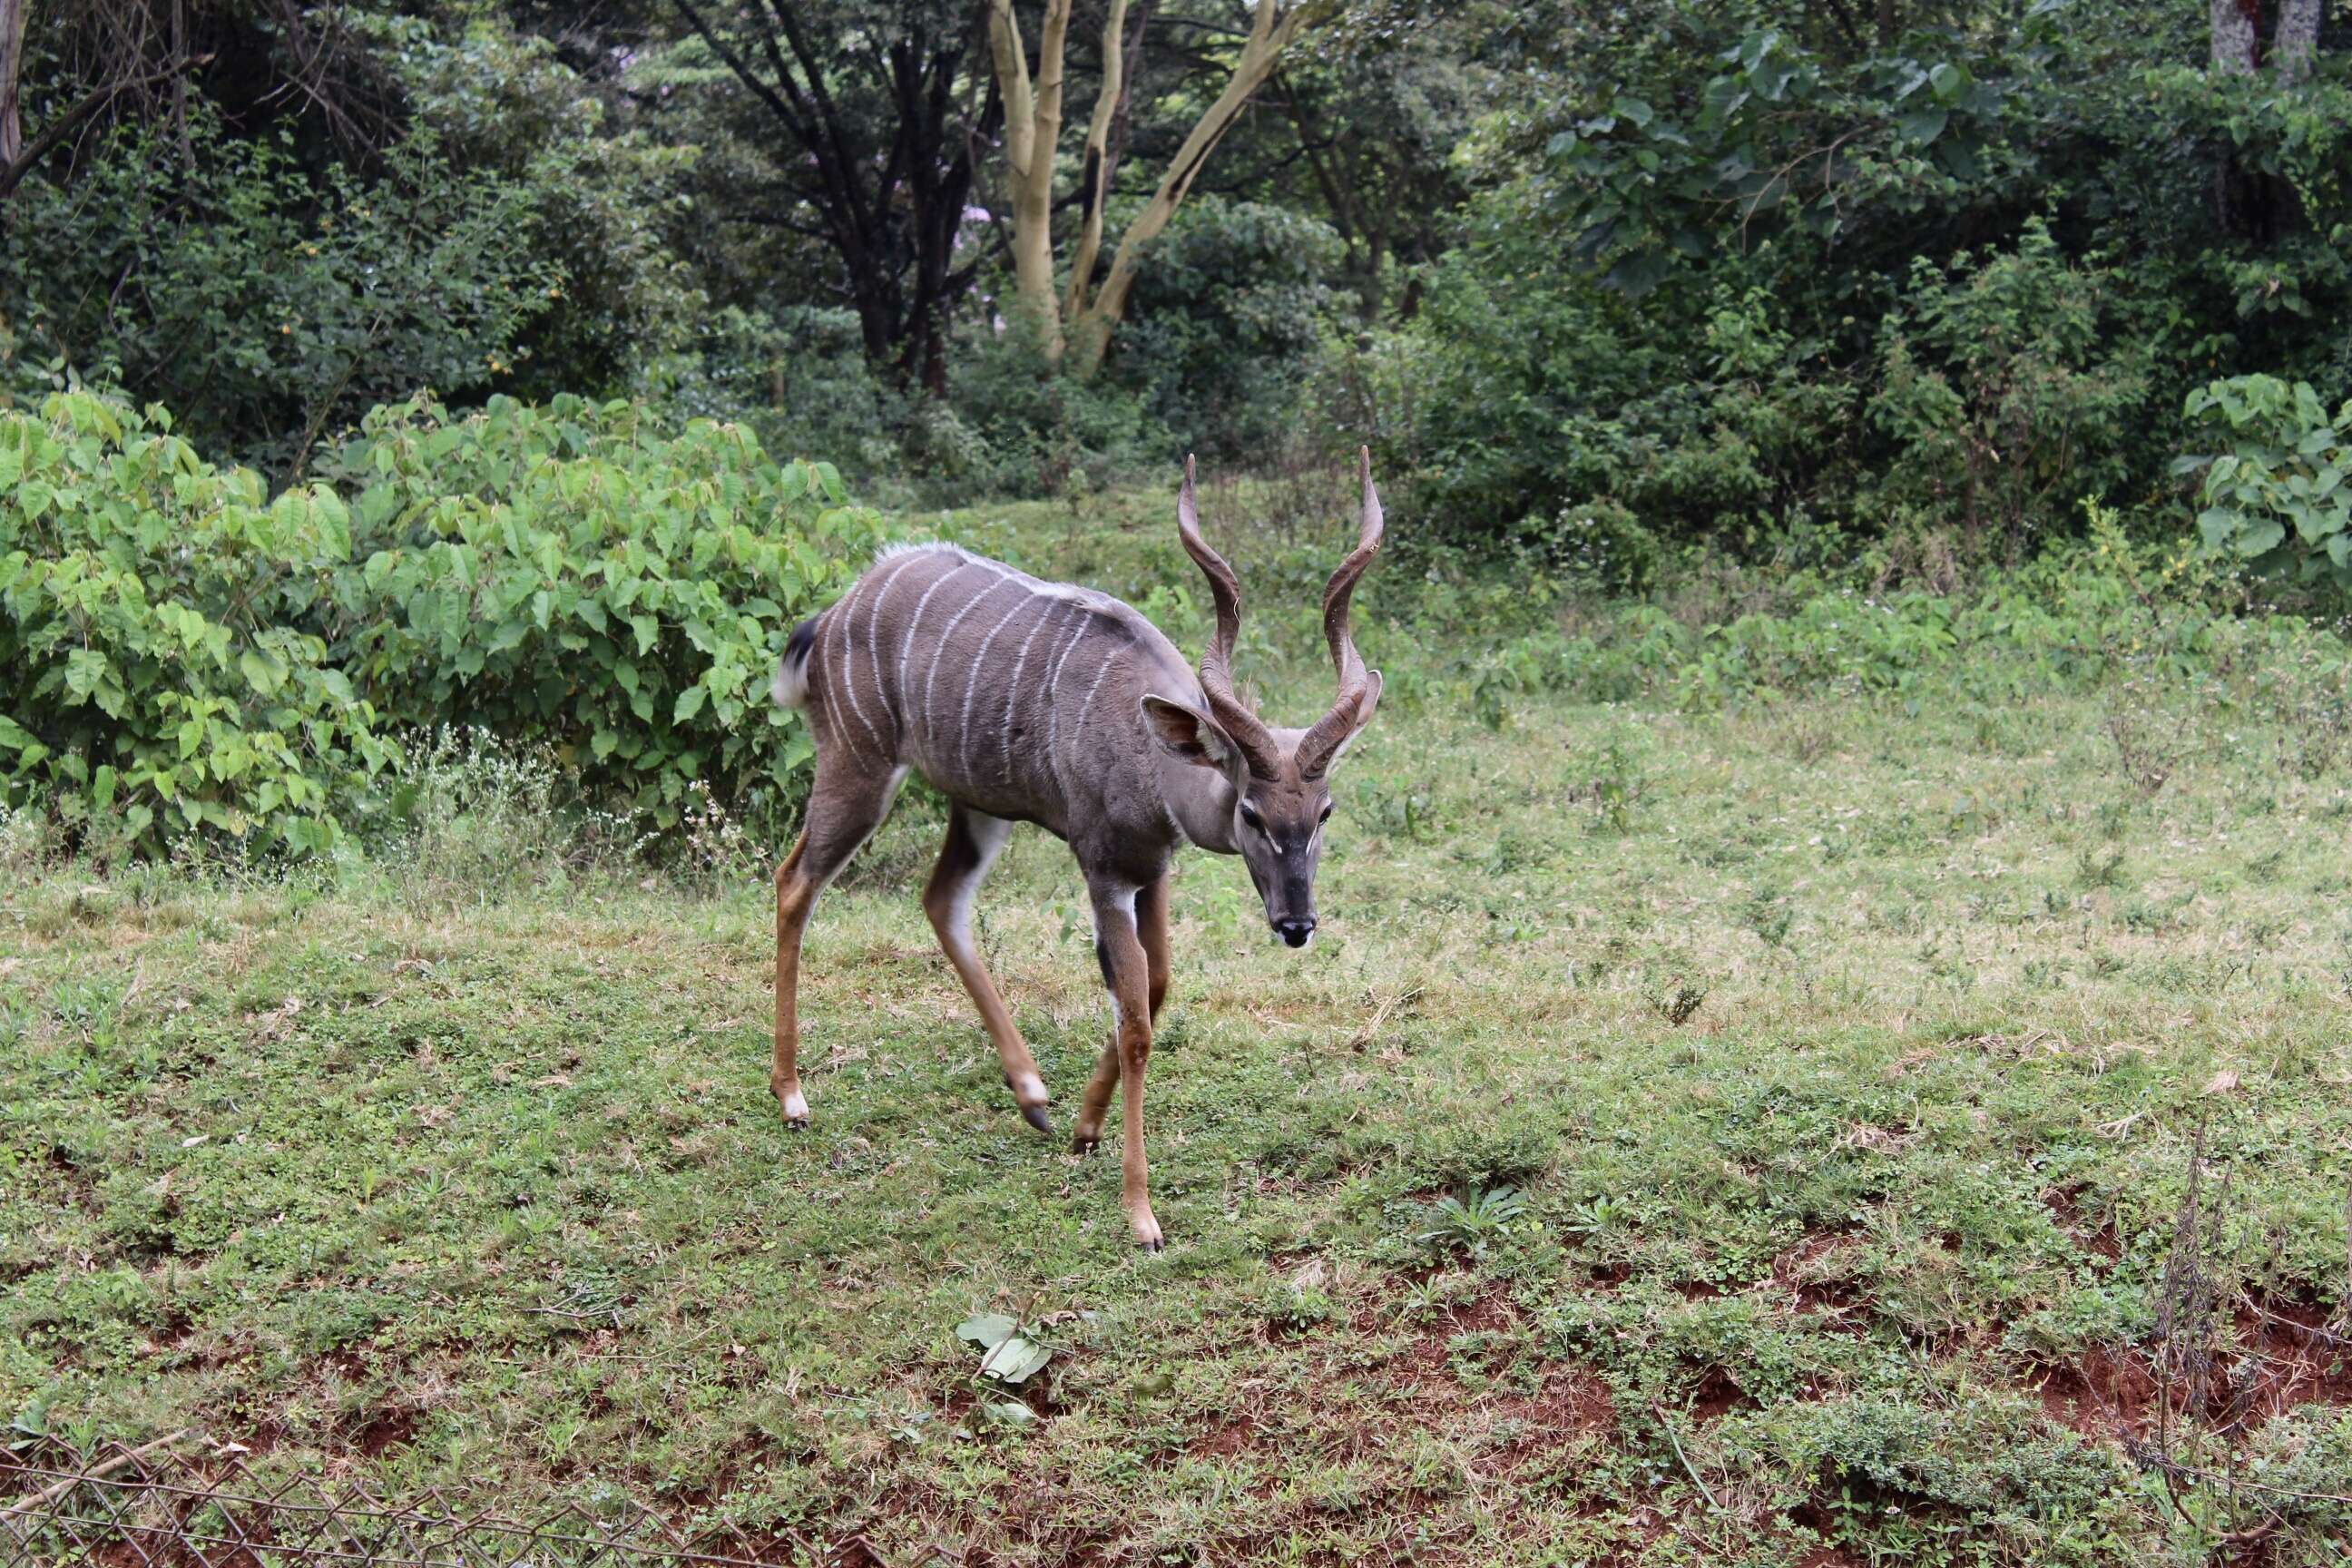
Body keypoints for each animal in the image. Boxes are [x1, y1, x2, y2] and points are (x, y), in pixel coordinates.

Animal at [771, 451, 1373, 1250]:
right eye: (1251, 811)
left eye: (1324, 810)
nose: (1297, 924)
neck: (1148, 750)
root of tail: (835, 613)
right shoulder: (1104, 872)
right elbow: (1138, 1023)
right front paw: (1141, 1214)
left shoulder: (1153, 873)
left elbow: (1156, 986)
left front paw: (1084, 1128)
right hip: (858, 769)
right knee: (795, 884)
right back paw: (792, 1097)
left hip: (976, 807)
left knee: (940, 899)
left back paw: (1031, 1094)